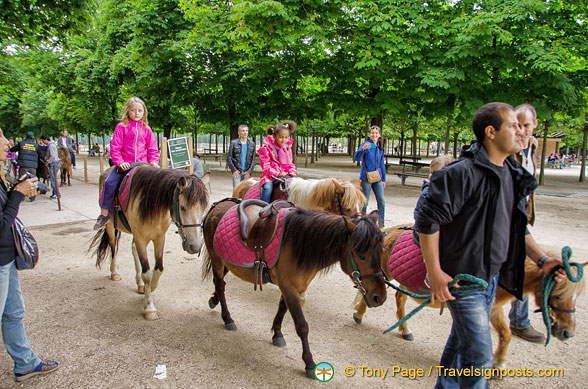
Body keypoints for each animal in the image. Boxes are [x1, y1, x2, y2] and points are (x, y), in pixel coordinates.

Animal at [89, 165, 211, 320]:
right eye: (183, 207)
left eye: (203, 208)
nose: (195, 246)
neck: (150, 203)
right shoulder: (141, 238)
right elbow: (147, 272)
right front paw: (149, 307)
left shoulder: (159, 238)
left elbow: (158, 269)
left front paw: (151, 288)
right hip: (111, 226)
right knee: (114, 246)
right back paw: (115, 272)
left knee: (133, 249)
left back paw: (140, 284)